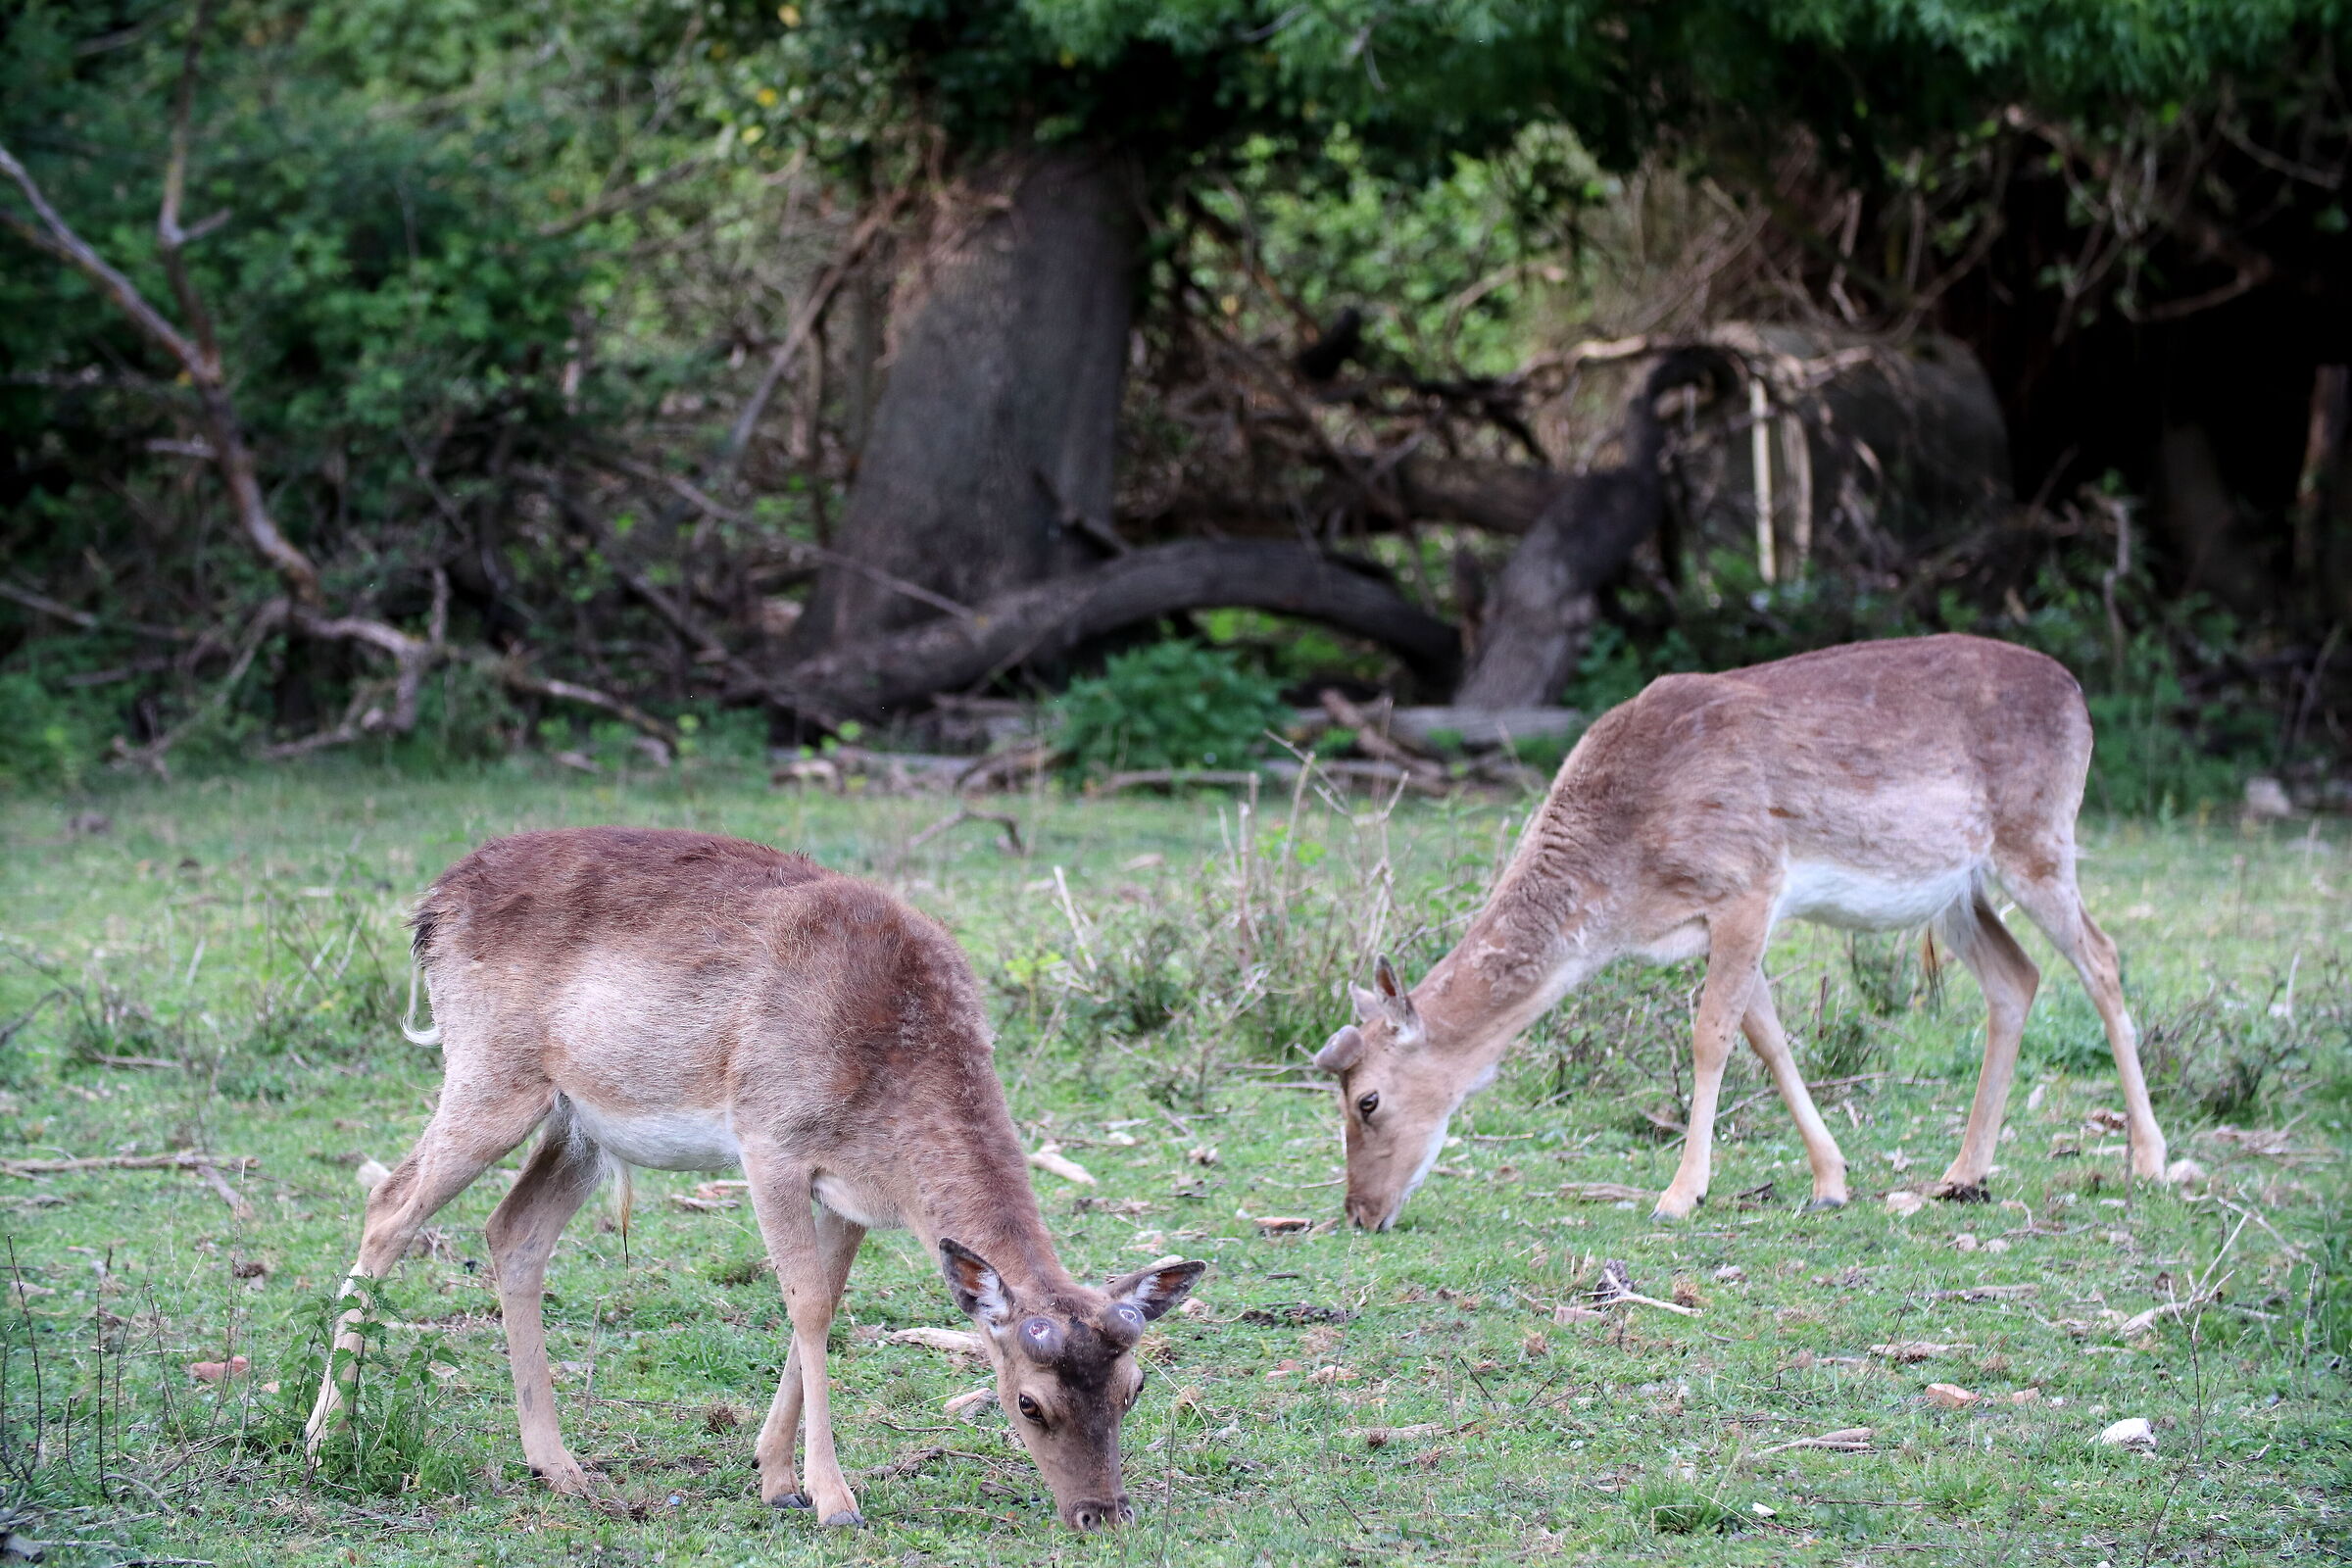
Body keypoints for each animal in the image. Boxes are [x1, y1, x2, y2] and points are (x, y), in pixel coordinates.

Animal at [303, 827, 1204, 1531]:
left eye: (1133, 1386)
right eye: (1027, 1402)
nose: (1101, 1513)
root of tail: (431, 908)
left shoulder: (852, 1196)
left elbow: (826, 1302)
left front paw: (775, 1481)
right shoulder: (768, 1143)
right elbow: (805, 1305)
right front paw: (834, 1499)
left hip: (578, 1125)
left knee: (512, 1230)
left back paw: (559, 1468)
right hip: (491, 1074)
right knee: (388, 1203)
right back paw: (324, 1440)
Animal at [1314, 635, 2169, 1229]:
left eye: (1368, 1101)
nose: (1359, 1214)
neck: (1622, 883)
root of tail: (2078, 694)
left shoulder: (1748, 884)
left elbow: (1710, 1035)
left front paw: (1680, 1194)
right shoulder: (1719, 921)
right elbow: (1767, 1036)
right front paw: (1830, 1183)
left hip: (2040, 837)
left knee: (2103, 957)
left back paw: (2149, 1160)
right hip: (1958, 889)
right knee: (2016, 976)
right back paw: (1964, 1174)